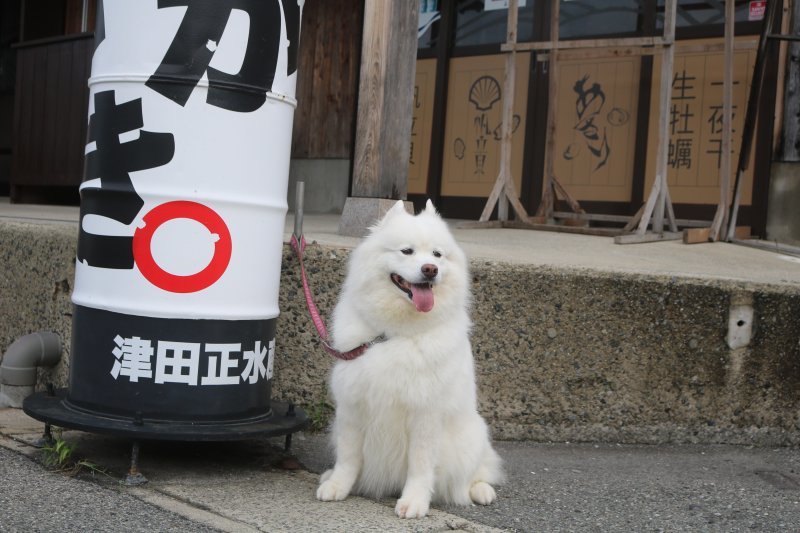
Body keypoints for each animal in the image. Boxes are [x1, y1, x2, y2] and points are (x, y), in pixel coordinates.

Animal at [318, 198, 500, 516]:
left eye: (437, 254)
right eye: (407, 251)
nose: (430, 269)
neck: (395, 333)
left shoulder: (426, 415)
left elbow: (421, 465)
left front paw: (414, 501)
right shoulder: (352, 407)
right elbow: (348, 457)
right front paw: (338, 485)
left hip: (471, 436)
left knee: (478, 472)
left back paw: (481, 490)